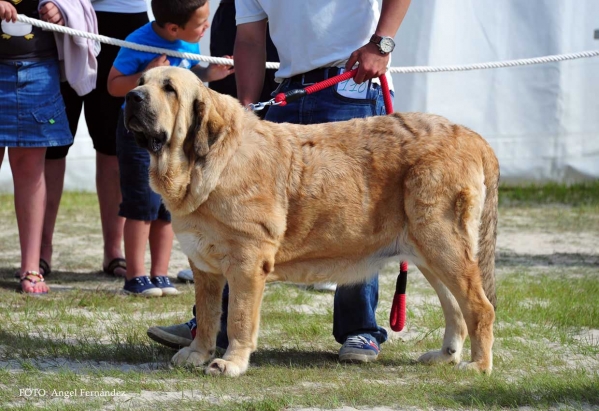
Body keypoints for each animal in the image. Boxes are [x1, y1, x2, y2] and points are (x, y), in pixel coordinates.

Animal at [124, 66, 500, 378]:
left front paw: (231, 363)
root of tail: (472, 137)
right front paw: (198, 353)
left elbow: (238, 320)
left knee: (480, 307)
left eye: (169, 88)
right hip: (429, 253)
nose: (132, 96)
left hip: (443, 243)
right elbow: (207, 315)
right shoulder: (205, 267)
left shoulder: (247, 264)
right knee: (455, 308)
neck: (203, 163)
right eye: (141, 81)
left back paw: (478, 365)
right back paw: (446, 356)